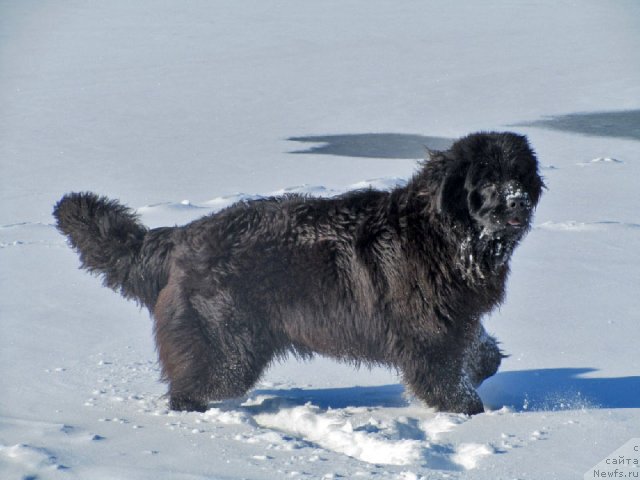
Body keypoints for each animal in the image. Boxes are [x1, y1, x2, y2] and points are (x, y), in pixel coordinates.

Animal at [53, 132, 544, 416]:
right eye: (486, 179)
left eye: (519, 175)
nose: (519, 200)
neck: (445, 236)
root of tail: (181, 235)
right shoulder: (430, 333)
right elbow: (444, 376)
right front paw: (466, 411)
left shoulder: (460, 319)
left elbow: (484, 355)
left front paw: (479, 370)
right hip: (228, 345)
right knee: (193, 385)